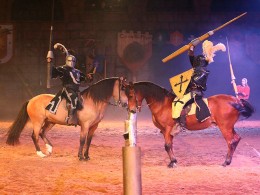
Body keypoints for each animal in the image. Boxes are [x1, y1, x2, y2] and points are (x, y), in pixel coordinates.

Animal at [125, 81, 255, 167]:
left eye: (131, 95)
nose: (131, 110)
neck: (162, 103)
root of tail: (236, 100)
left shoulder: (167, 129)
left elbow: (167, 146)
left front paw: (172, 162)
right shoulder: (166, 131)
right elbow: (170, 145)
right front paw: (173, 160)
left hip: (225, 127)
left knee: (230, 142)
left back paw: (226, 162)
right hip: (229, 127)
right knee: (236, 139)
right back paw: (229, 161)